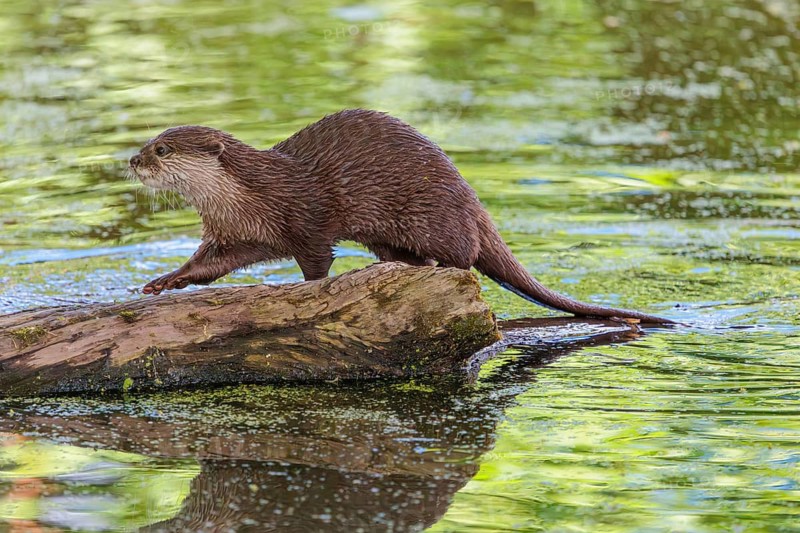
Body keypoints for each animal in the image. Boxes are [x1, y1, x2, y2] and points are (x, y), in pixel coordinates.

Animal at [128, 109, 672, 324]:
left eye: (162, 148)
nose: (132, 160)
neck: (251, 195)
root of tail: (471, 199)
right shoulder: (236, 233)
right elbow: (210, 264)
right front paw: (164, 282)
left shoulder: (305, 215)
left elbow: (316, 259)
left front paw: (308, 293)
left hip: (431, 215)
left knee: (463, 258)